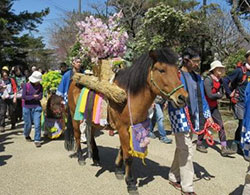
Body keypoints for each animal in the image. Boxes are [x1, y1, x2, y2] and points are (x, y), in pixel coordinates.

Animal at [66, 48, 188, 194]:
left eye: (177, 70)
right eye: (161, 70)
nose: (182, 97)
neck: (129, 97)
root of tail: (73, 81)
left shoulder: (126, 128)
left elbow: (122, 151)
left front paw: (118, 170)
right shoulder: (123, 129)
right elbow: (128, 156)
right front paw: (130, 182)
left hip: (93, 120)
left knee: (91, 137)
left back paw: (95, 157)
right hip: (74, 116)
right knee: (78, 136)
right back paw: (80, 157)